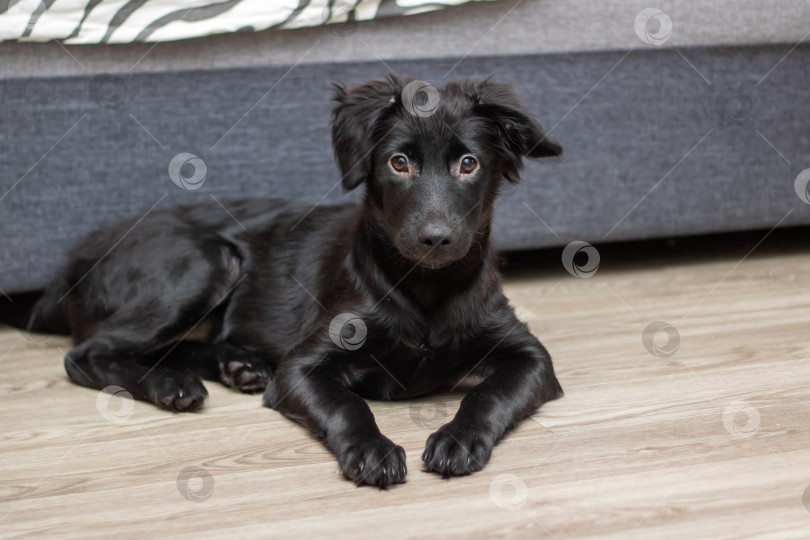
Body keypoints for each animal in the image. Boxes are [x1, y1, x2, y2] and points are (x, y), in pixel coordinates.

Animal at [30, 77, 560, 490]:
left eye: (468, 164)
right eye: (398, 163)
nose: (435, 238)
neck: (425, 289)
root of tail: (77, 257)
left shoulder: (532, 357)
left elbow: (490, 392)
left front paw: (460, 436)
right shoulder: (302, 367)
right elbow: (346, 404)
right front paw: (372, 449)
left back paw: (238, 366)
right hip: (206, 262)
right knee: (87, 354)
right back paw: (170, 384)